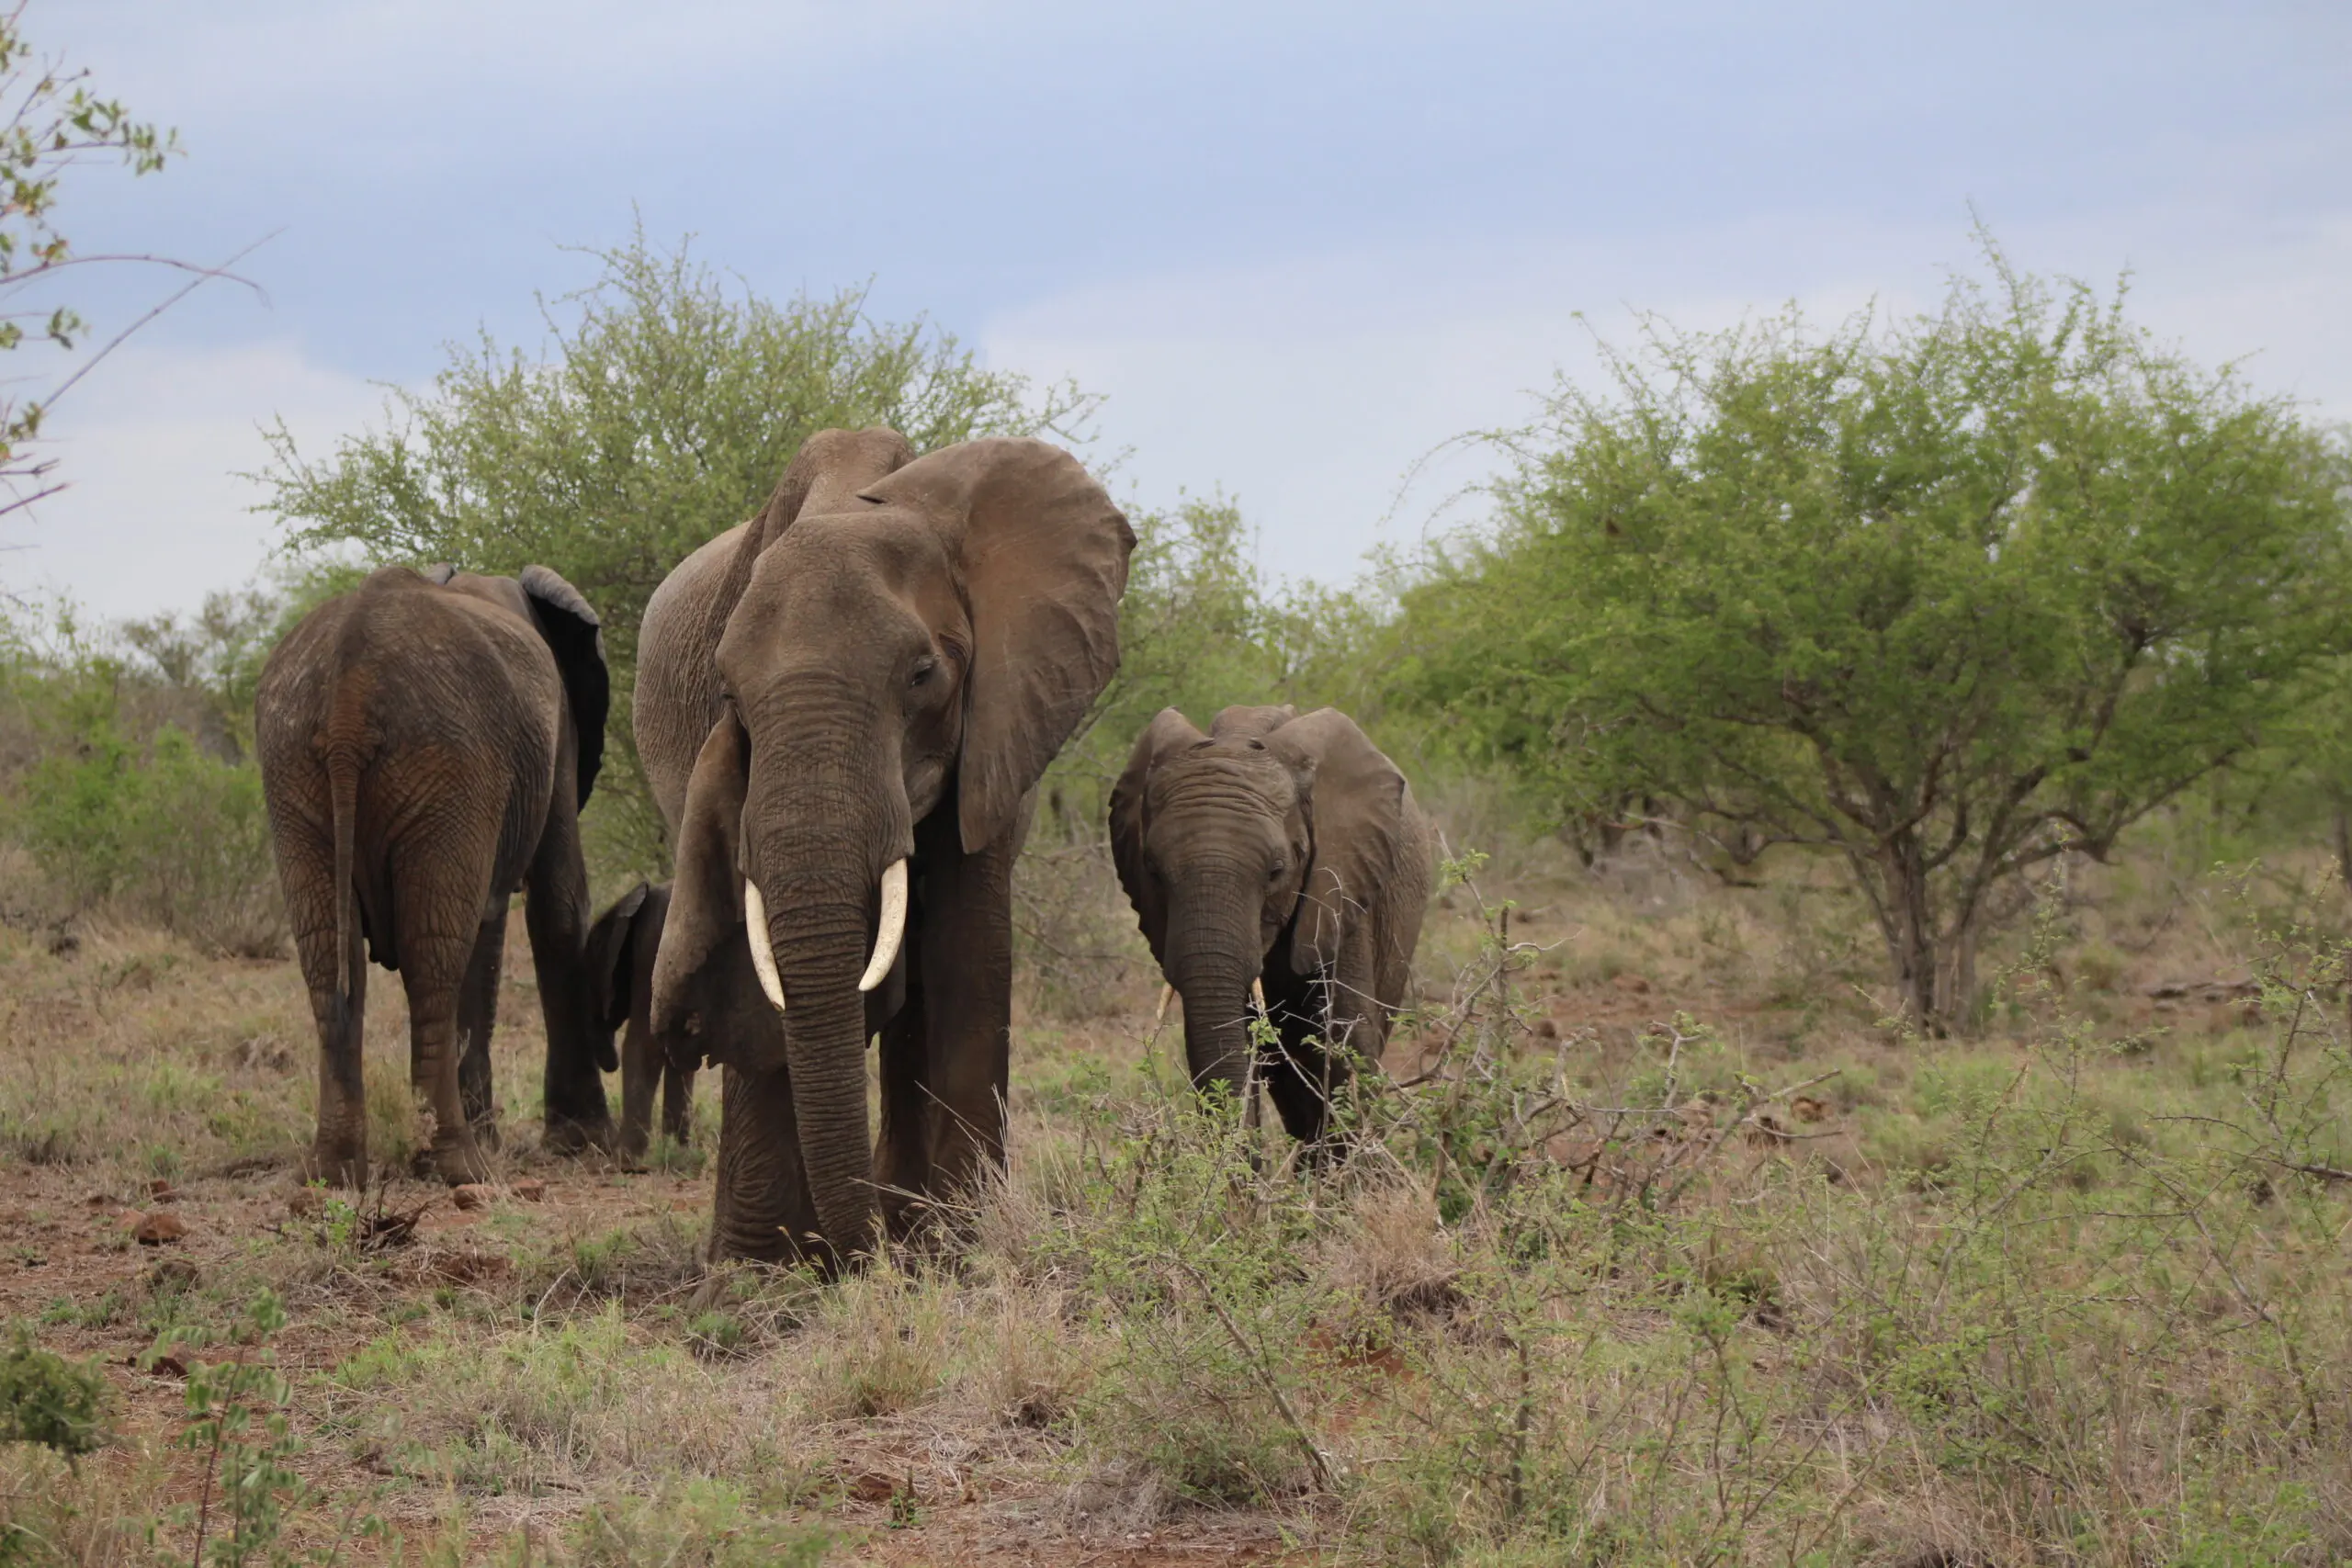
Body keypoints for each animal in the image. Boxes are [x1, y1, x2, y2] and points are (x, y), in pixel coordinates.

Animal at [256, 563, 616, 1186]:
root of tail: (349, 688)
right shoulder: (558, 736)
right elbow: (560, 903)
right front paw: (584, 1141)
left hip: (299, 765)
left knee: (330, 957)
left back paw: (334, 1172)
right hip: (450, 758)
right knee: (433, 955)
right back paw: (460, 1167)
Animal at [635, 428, 1133, 1267]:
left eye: (924, 673)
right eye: (729, 695)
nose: (867, 1262)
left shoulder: (997, 728)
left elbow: (968, 949)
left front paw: (964, 1249)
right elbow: (763, 980)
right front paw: (754, 1276)